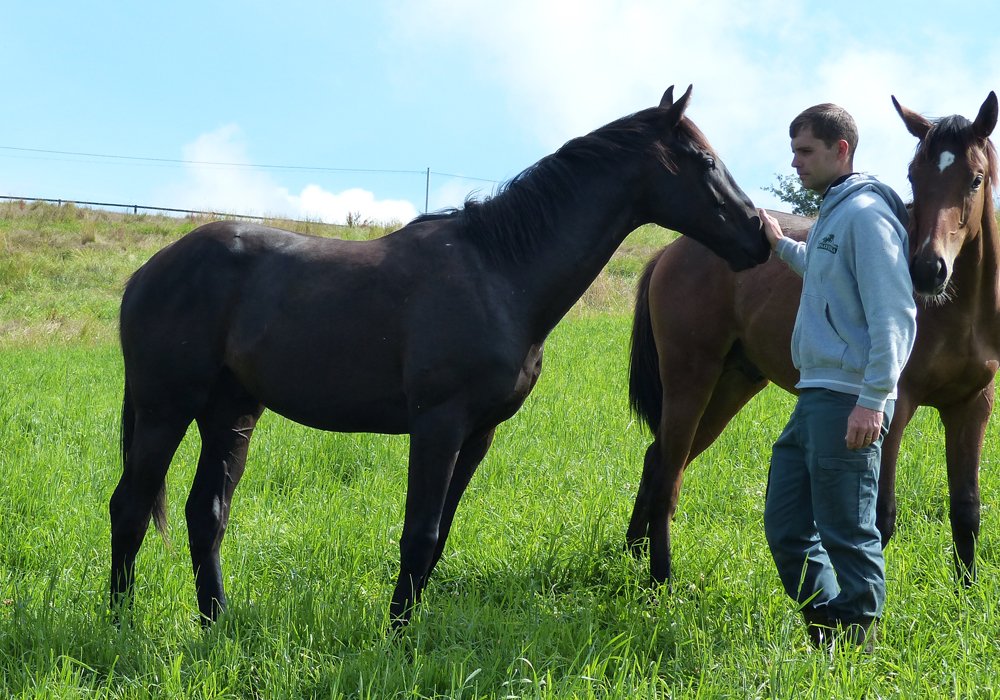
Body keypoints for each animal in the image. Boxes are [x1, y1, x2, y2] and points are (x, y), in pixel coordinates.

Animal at [109, 85, 771, 628]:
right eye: (705, 162)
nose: (760, 234)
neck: (500, 273)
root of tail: (147, 272)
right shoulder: (438, 424)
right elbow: (419, 534)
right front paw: (396, 639)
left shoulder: (477, 434)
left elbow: (441, 535)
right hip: (166, 411)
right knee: (130, 507)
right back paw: (119, 626)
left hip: (232, 414)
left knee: (206, 515)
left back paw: (217, 625)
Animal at [624, 92, 999, 589]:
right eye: (914, 176)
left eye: (975, 178)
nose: (926, 269)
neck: (959, 311)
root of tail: (669, 250)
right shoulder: (893, 407)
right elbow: (881, 518)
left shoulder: (971, 406)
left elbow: (967, 510)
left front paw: (966, 593)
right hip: (691, 382)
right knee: (668, 471)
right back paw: (658, 579)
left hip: (731, 386)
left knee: (659, 459)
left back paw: (632, 555)